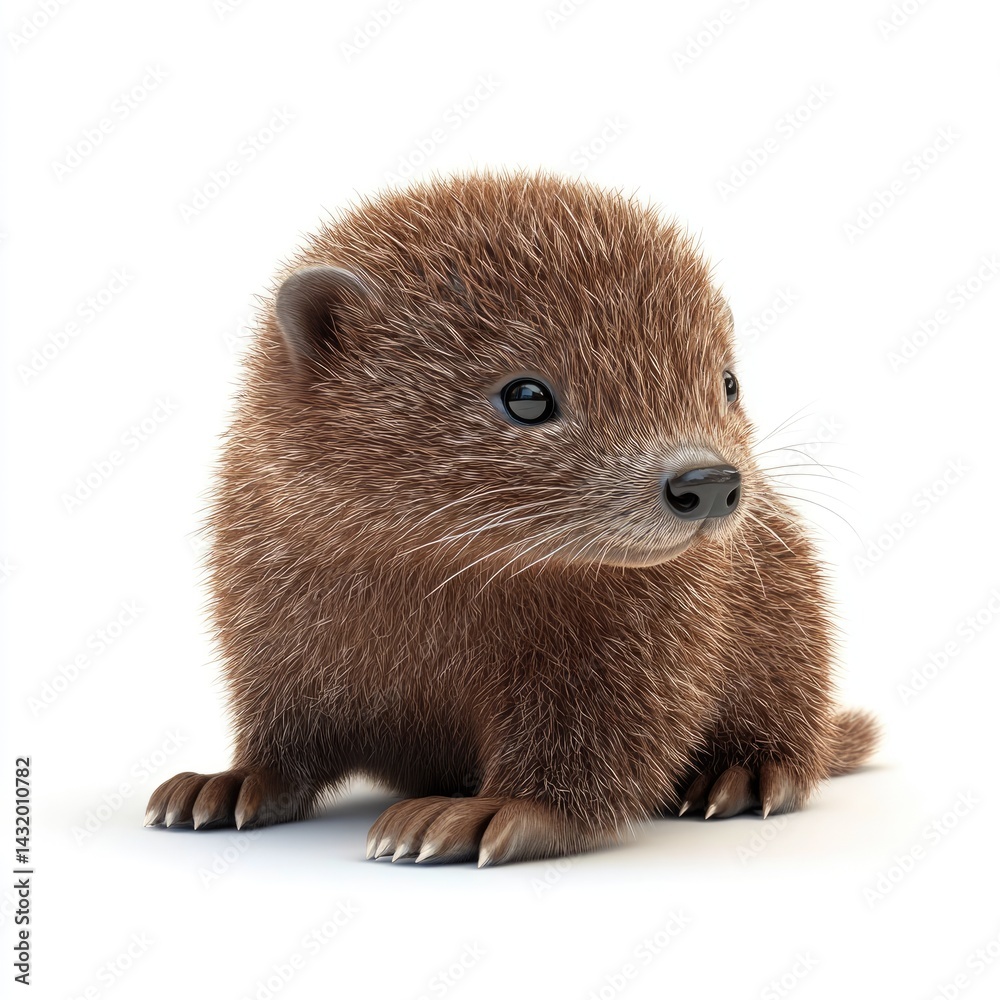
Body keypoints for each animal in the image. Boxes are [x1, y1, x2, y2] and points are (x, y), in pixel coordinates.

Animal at [145, 171, 878, 866]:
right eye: (527, 395)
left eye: (728, 381)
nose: (708, 481)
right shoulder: (267, 624)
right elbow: (282, 737)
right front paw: (225, 782)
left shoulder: (645, 641)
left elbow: (598, 747)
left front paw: (484, 812)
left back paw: (744, 775)